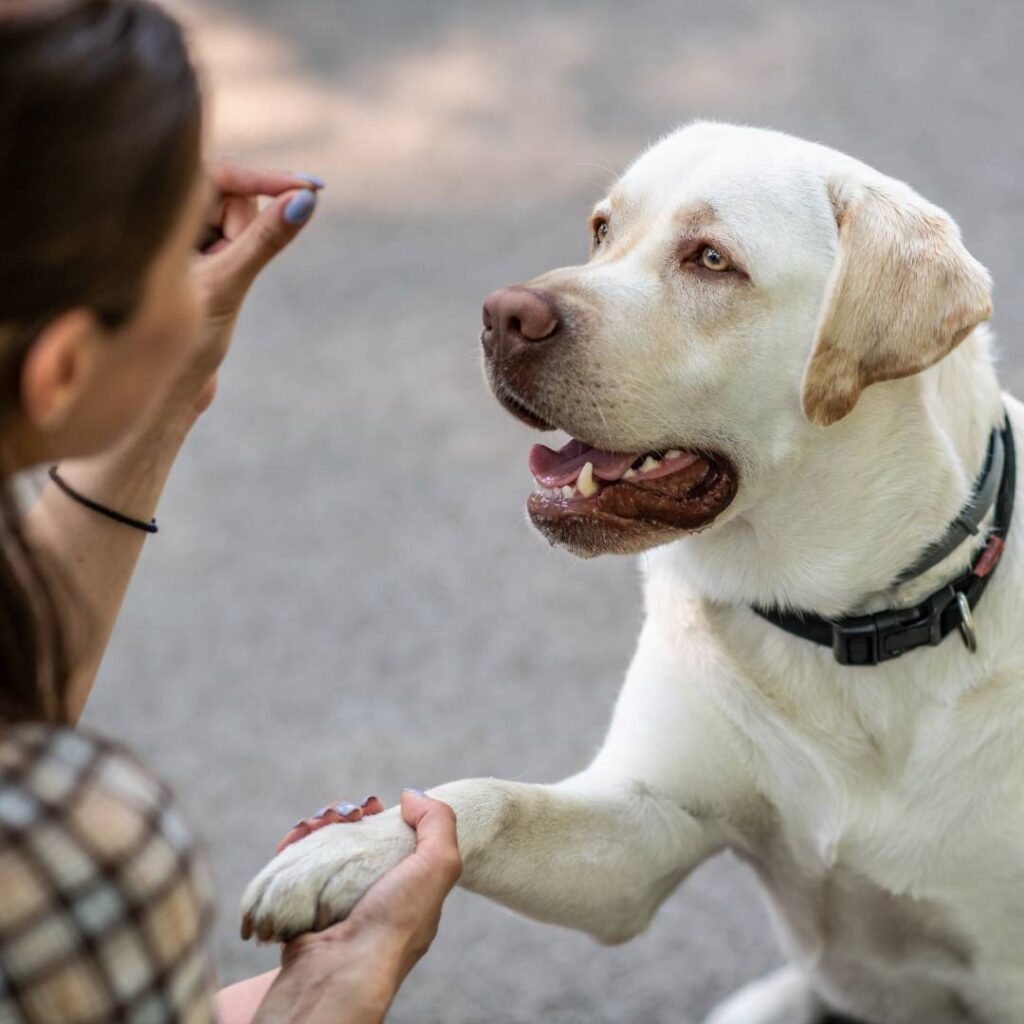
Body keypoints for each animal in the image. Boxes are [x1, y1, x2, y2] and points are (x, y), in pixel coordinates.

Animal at [241, 123, 1024, 1019]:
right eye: (601, 229)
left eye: (712, 259)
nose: (501, 315)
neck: (842, 627)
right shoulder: (640, 837)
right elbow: (488, 799)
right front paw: (352, 849)